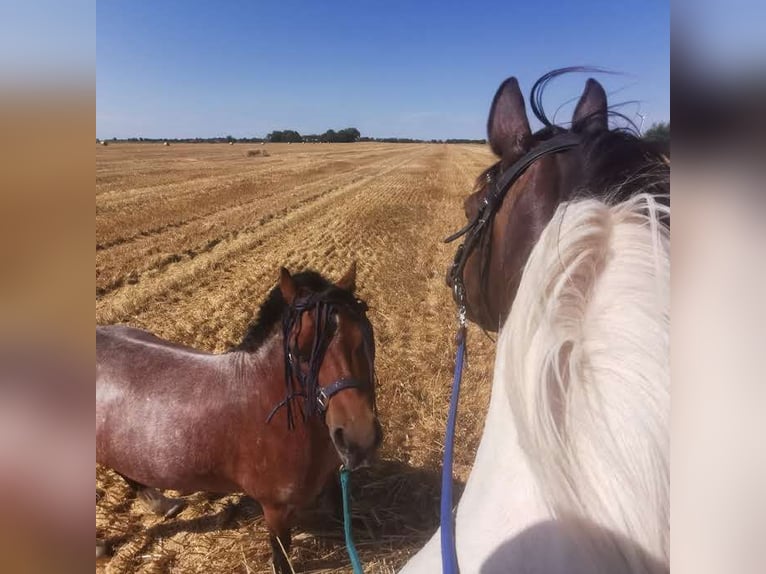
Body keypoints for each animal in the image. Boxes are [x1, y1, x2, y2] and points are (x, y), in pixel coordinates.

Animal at [96, 263, 382, 573]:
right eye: (301, 352)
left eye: (364, 336)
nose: (359, 440)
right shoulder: (275, 509)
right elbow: (282, 555)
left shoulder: (331, 479)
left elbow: (341, 514)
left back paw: (162, 504)